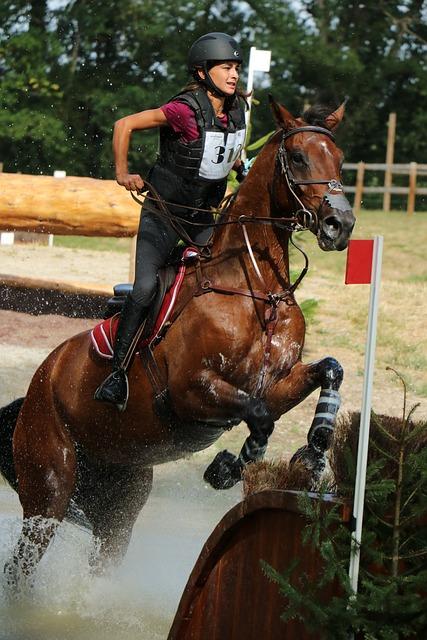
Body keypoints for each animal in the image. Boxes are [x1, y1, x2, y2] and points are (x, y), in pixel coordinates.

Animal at [0, 97, 354, 592]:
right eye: (299, 157)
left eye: (339, 159)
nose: (341, 224)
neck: (255, 288)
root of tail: (38, 382)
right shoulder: (190, 391)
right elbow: (260, 416)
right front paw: (229, 467)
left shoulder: (276, 383)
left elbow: (328, 370)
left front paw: (316, 447)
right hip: (49, 487)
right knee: (22, 564)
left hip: (118, 499)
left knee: (103, 553)